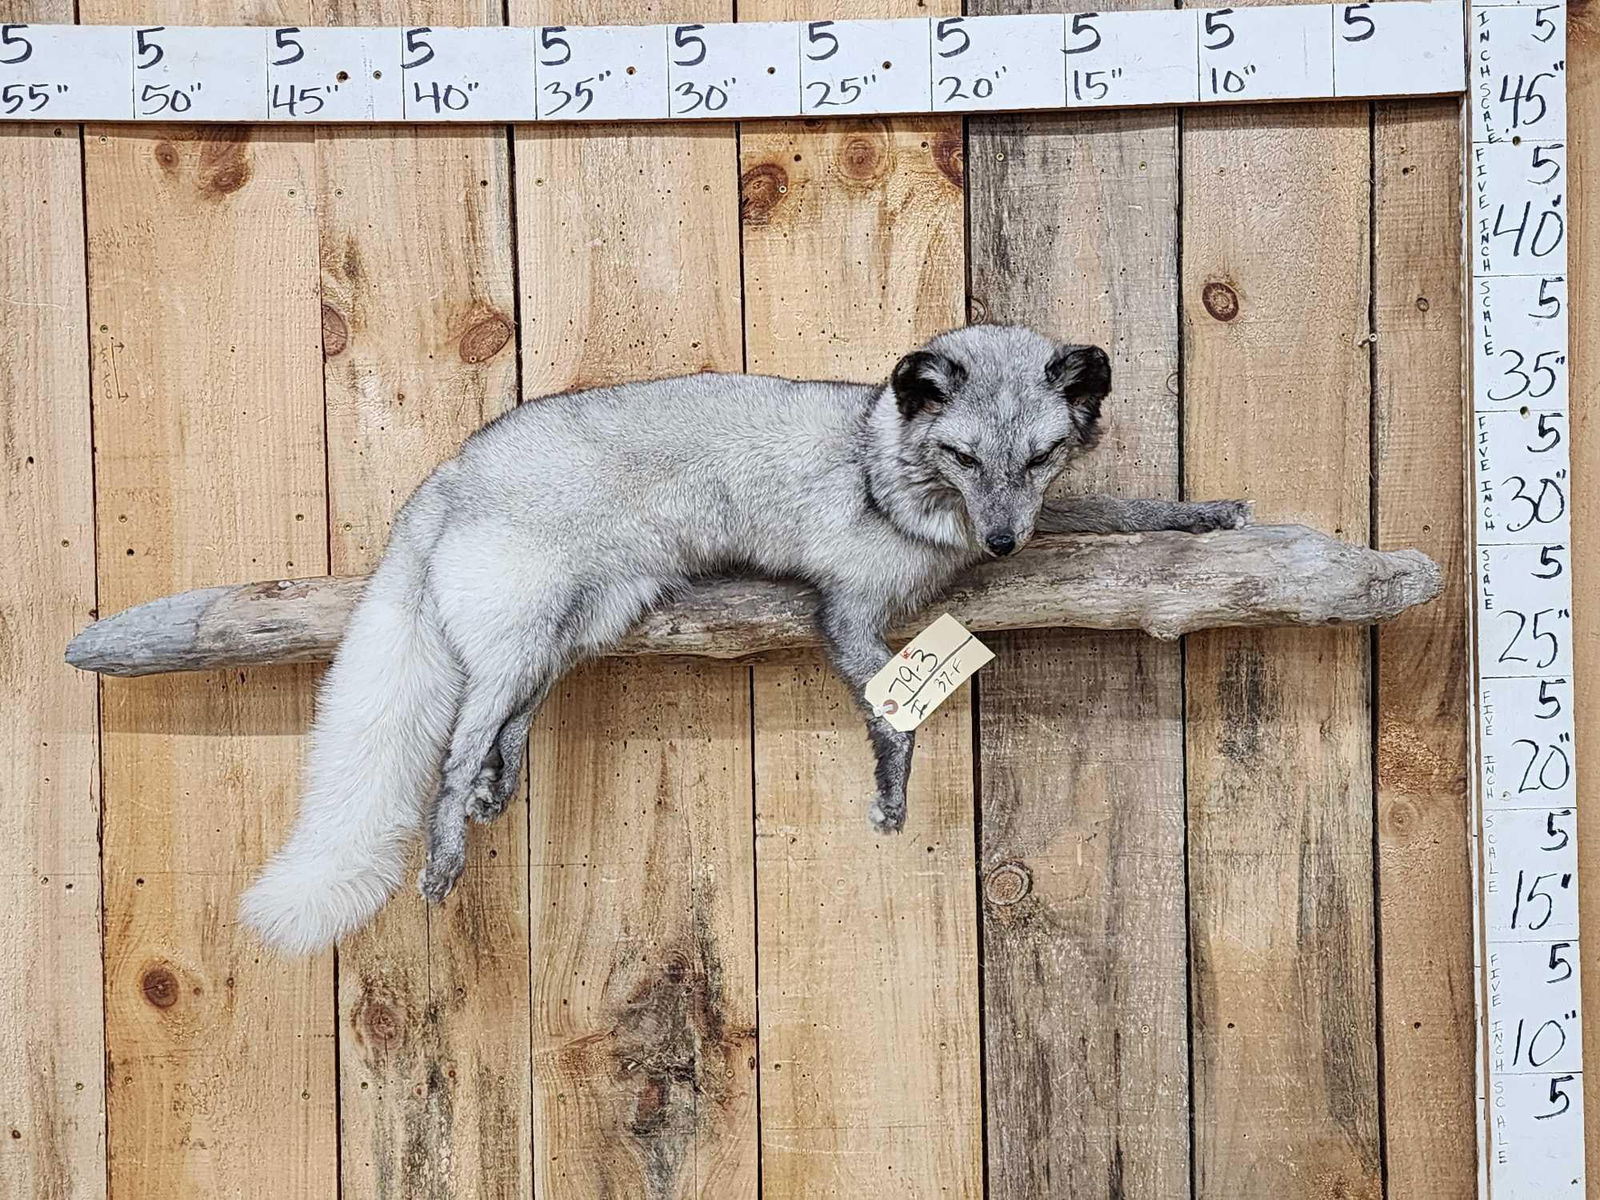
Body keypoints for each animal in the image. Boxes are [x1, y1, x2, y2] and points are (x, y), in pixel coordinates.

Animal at [239, 323, 1250, 954]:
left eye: (1039, 457)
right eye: (962, 456)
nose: (1002, 542)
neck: (878, 464)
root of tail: (447, 473)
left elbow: (1113, 508)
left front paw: (1199, 512)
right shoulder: (844, 611)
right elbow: (893, 719)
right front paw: (892, 794)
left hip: (579, 628)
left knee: (510, 720)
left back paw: (501, 782)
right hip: (528, 632)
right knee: (454, 748)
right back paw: (448, 846)